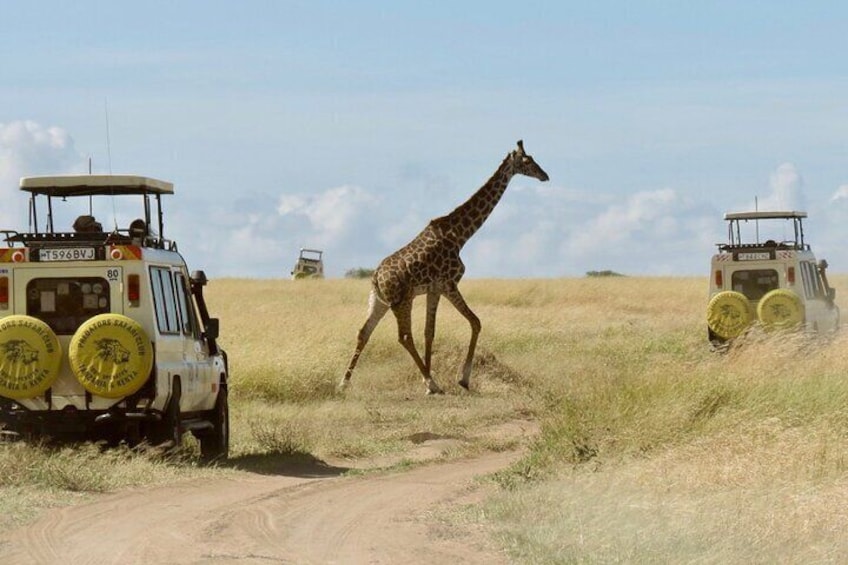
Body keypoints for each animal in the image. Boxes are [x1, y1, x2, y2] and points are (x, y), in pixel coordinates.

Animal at [340, 139, 548, 394]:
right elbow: (475, 322)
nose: (545, 175)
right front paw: (460, 380)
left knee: (364, 332)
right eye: (527, 161)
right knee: (404, 336)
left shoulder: (434, 289)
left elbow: (430, 332)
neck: (460, 235)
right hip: (402, 300)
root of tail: (376, 277)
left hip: (379, 300)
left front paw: (428, 380)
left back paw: (344, 383)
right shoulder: (449, 284)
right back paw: (434, 383)